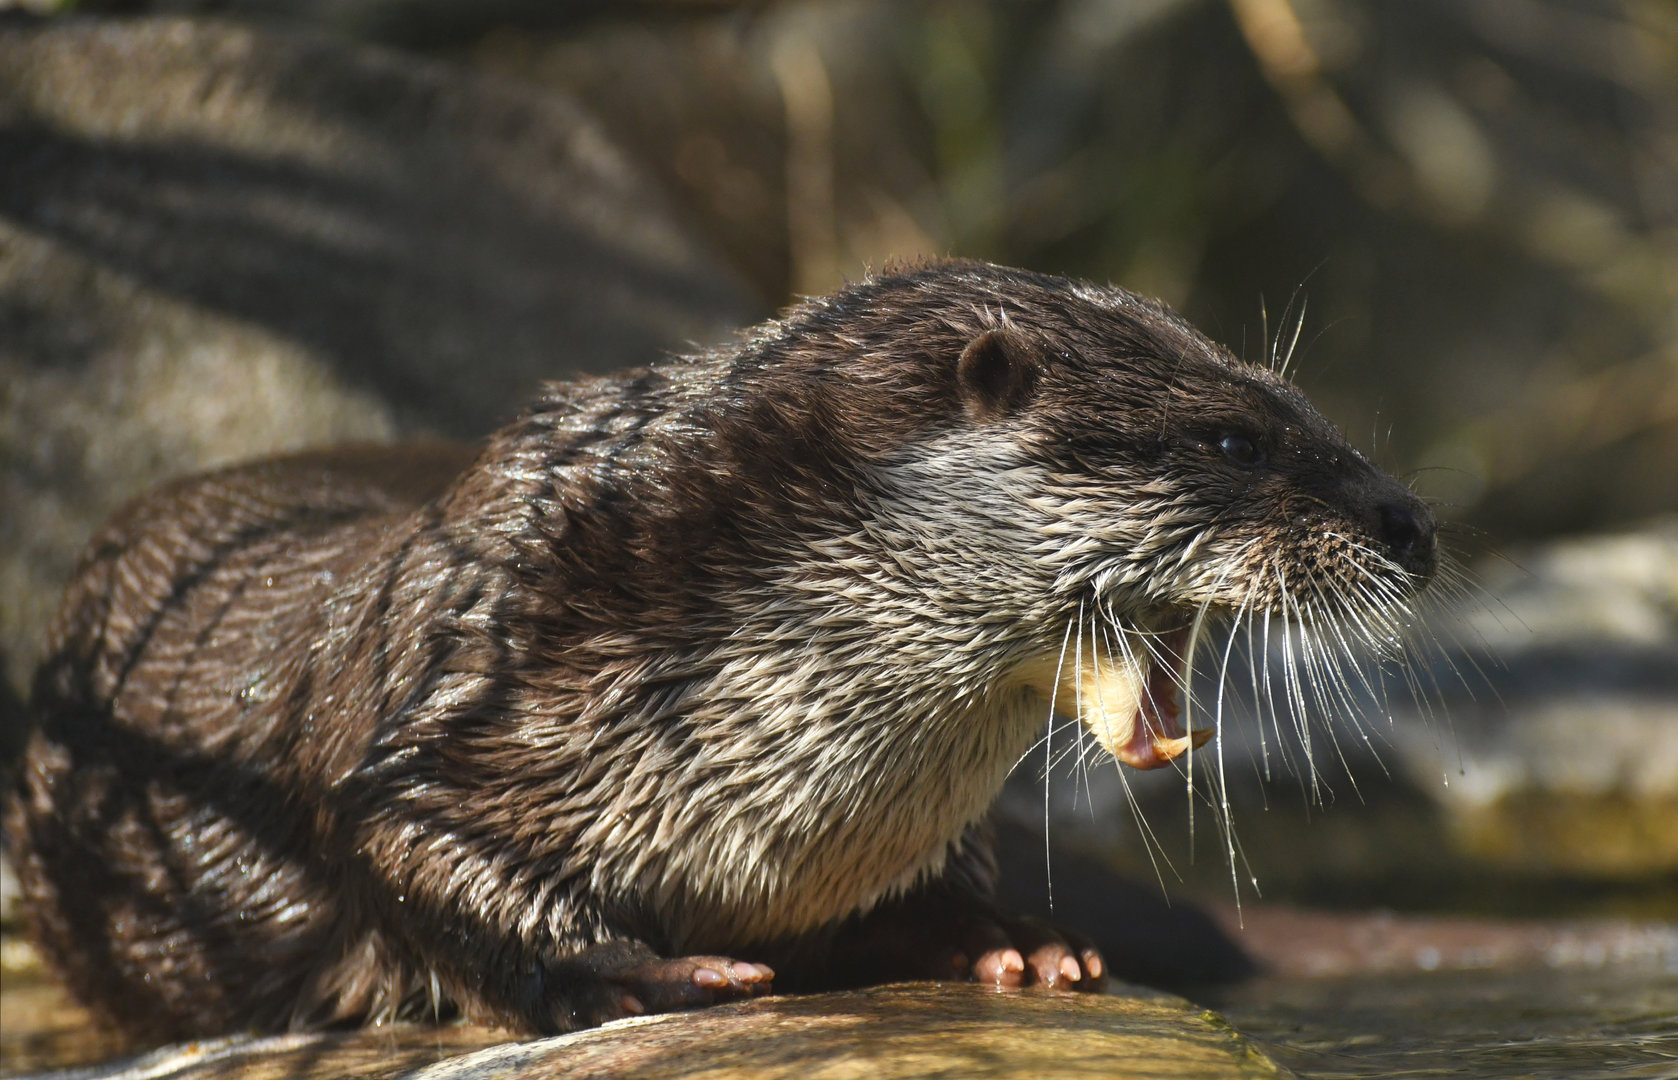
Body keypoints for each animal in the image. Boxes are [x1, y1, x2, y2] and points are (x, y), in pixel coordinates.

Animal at [5, 261, 1435, 1041]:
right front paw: (634, 970)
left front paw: (1010, 940)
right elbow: (403, 847)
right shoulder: (447, 688)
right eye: (1233, 442)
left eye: (1305, 407)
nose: (1411, 521)